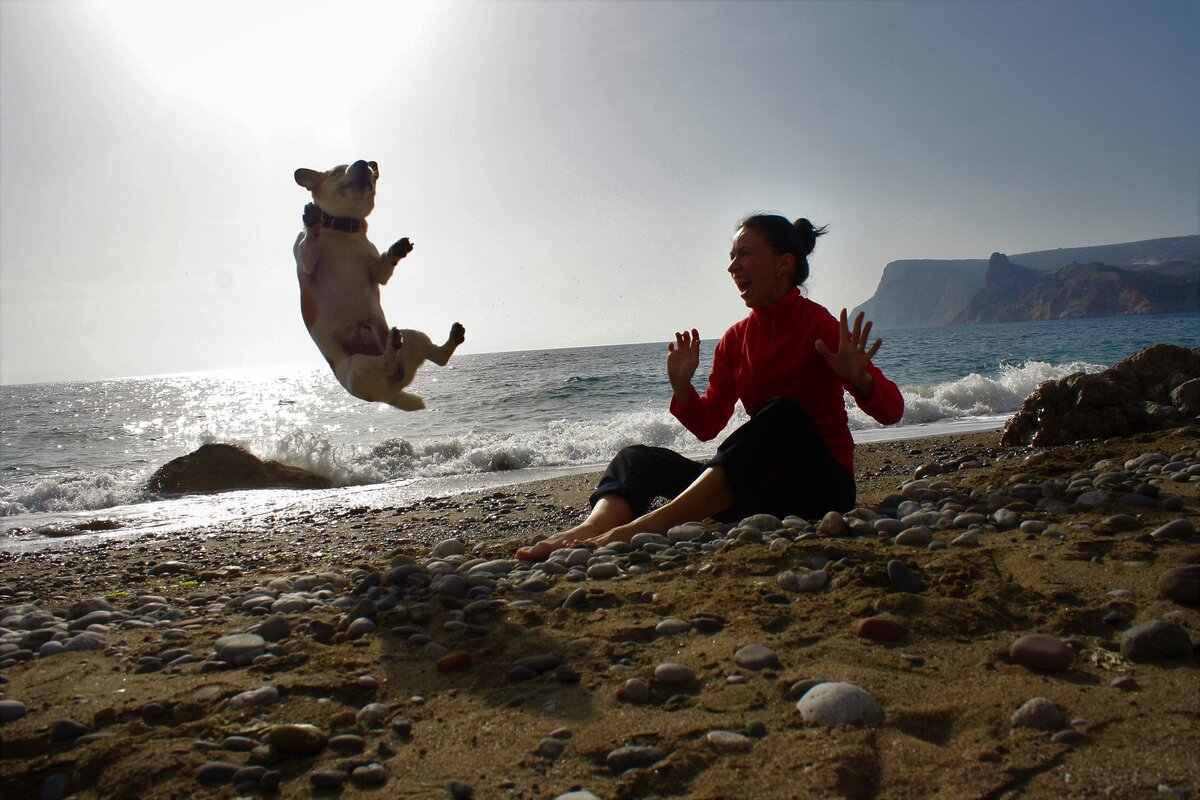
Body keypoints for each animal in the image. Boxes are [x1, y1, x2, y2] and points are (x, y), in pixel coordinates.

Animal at [292, 159, 465, 410]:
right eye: (337, 171)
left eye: (373, 180)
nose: (365, 162)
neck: (343, 231)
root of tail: (392, 394)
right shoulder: (306, 262)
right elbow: (309, 245)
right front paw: (313, 220)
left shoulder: (377, 272)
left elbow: (383, 266)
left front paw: (397, 250)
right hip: (356, 367)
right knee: (389, 365)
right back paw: (393, 349)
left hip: (413, 336)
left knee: (436, 358)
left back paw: (445, 338)